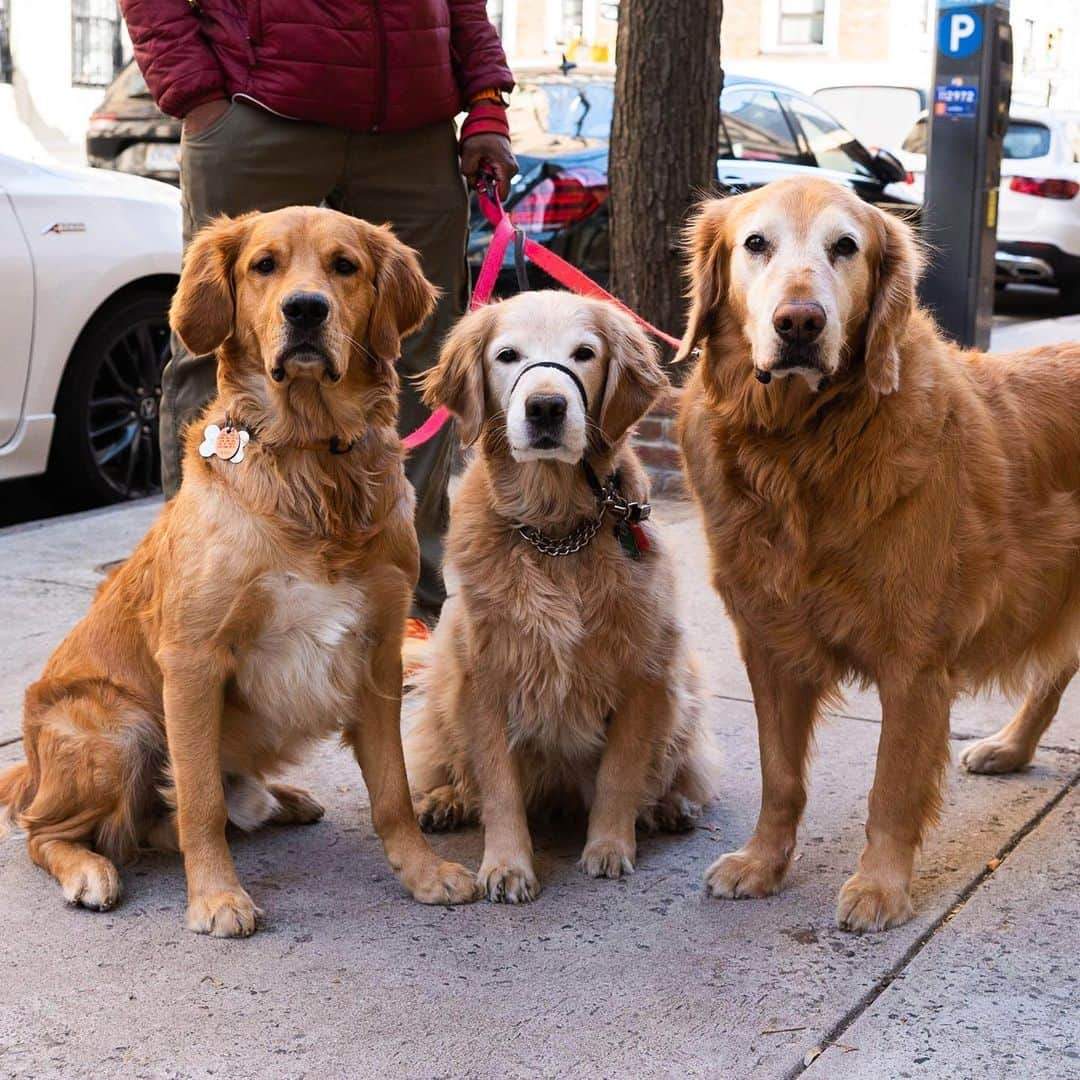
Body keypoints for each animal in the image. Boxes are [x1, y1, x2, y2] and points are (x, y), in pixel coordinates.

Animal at [0, 206, 481, 933]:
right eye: (265, 265)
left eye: (345, 266)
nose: (306, 309)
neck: (310, 458)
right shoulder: (194, 661)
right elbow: (199, 801)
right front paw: (217, 897)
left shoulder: (378, 654)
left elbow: (393, 790)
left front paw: (422, 872)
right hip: (122, 728)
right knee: (46, 831)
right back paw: (89, 871)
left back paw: (282, 799)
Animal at [406, 293, 717, 902]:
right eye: (507, 355)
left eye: (584, 354)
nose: (546, 407)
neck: (554, 533)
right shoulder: (482, 677)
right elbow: (498, 785)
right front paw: (506, 865)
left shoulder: (645, 674)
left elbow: (621, 774)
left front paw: (609, 846)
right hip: (440, 686)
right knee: (452, 766)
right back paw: (446, 800)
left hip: (686, 685)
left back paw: (670, 805)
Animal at [678, 177, 1075, 928]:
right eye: (755, 243)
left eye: (846, 247)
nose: (799, 324)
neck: (803, 448)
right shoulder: (770, 643)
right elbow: (780, 776)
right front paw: (762, 862)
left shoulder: (914, 661)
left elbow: (891, 787)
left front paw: (881, 886)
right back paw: (1011, 748)